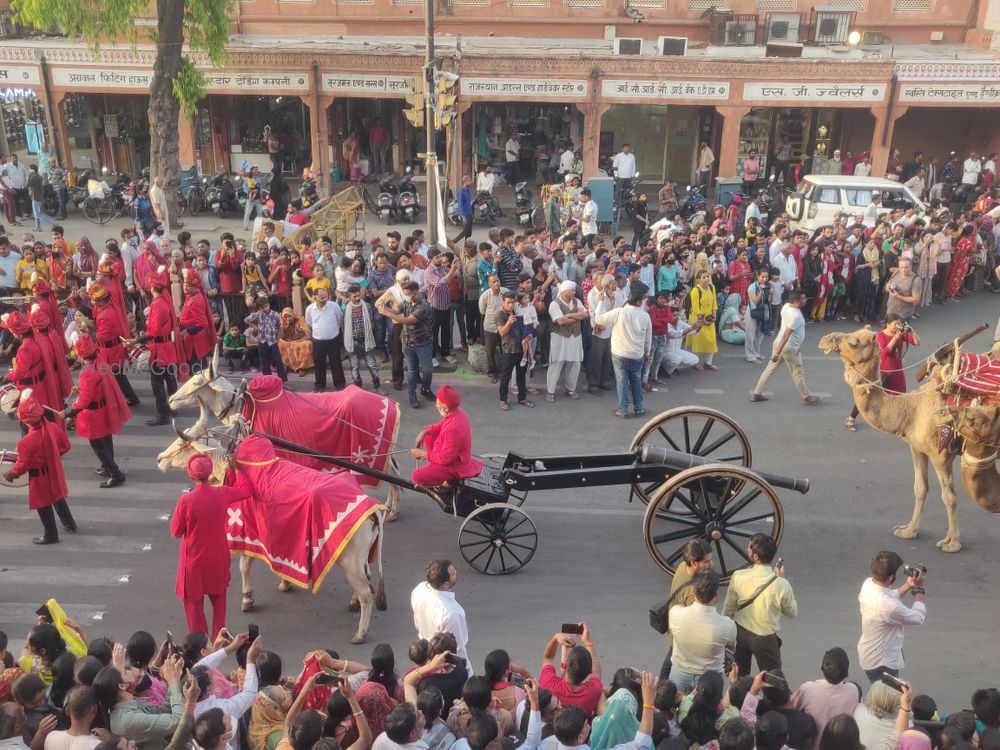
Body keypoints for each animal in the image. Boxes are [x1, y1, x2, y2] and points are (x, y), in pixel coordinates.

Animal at [816, 328, 964, 552]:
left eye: (854, 342)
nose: (826, 338)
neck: (911, 410)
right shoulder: (917, 448)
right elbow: (920, 489)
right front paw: (908, 531)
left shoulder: (942, 455)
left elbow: (949, 496)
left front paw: (952, 542)